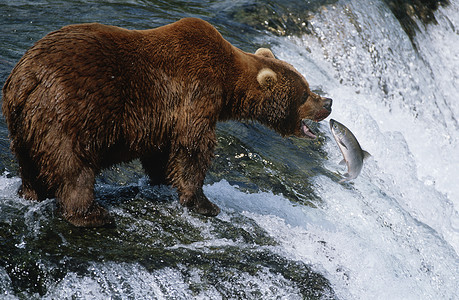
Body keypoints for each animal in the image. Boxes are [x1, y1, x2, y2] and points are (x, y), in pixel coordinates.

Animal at [0, 17, 330, 226]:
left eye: (307, 85)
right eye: (304, 94)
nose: (328, 102)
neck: (227, 83)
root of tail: (26, 76)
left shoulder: (161, 117)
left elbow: (161, 152)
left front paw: (162, 179)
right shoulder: (196, 93)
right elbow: (193, 148)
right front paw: (204, 203)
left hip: (23, 121)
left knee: (29, 161)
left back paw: (31, 193)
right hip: (70, 112)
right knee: (73, 165)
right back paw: (92, 215)